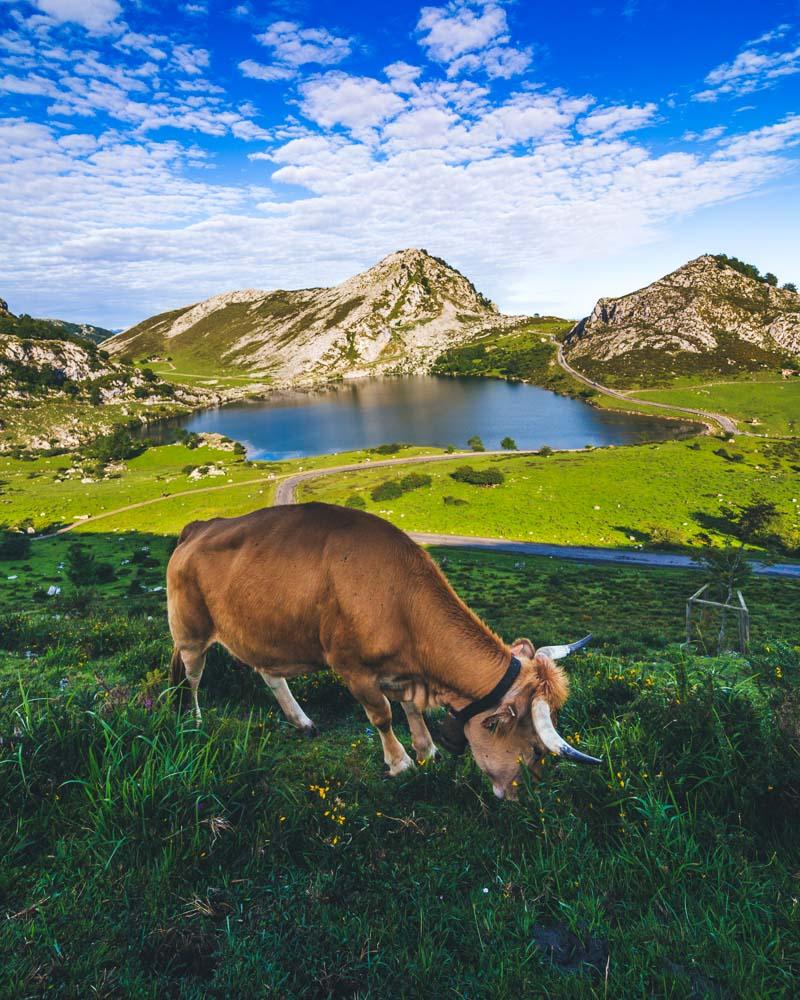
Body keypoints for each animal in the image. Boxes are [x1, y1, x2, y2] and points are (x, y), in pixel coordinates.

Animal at [166, 504, 596, 800]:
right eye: (535, 748)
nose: (519, 794)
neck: (401, 602)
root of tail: (200, 526)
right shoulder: (353, 669)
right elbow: (383, 716)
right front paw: (400, 761)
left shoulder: (401, 671)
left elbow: (410, 709)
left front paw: (427, 750)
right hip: (190, 630)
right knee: (193, 674)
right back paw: (196, 720)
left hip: (262, 631)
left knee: (269, 673)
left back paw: (301, 722)